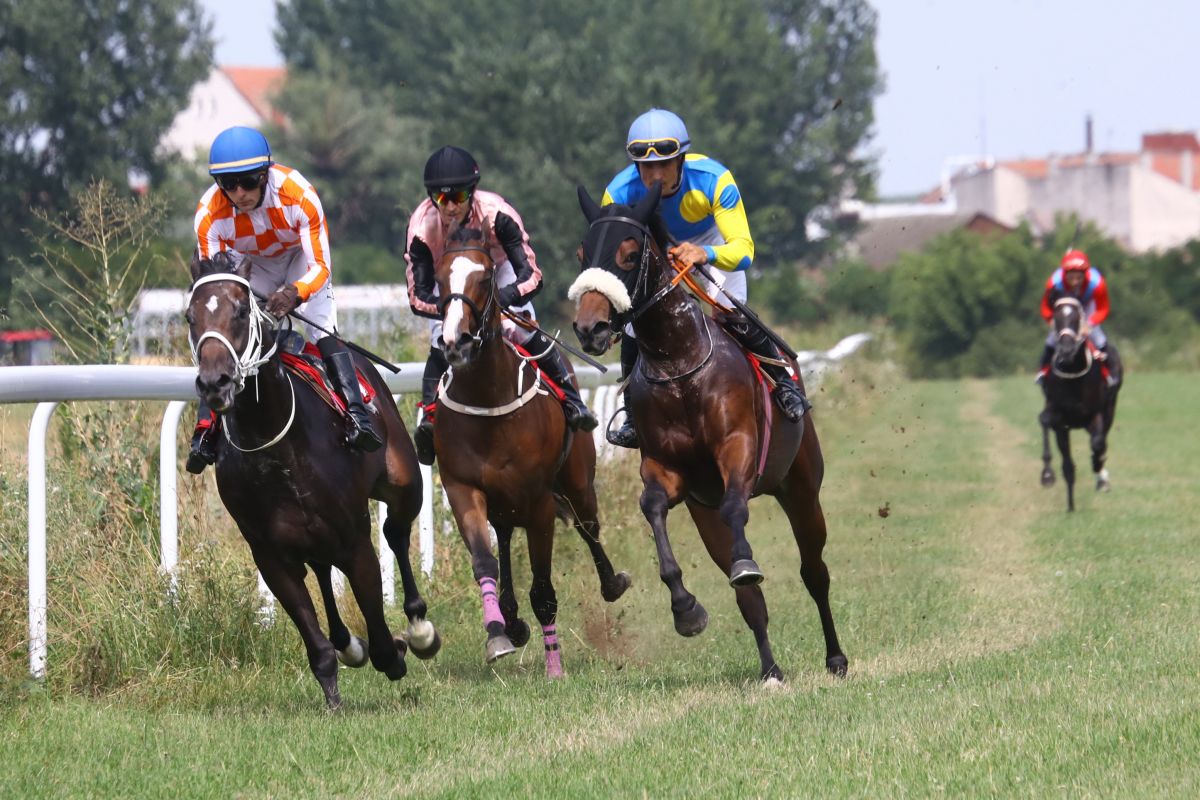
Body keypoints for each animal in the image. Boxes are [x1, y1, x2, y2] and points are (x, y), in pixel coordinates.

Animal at [182, 251, 436, 705]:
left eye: (242, 310)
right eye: (190, 317)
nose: (215, 383)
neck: (276, 442)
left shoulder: (355, 540)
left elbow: (380, 633)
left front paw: (396, 649)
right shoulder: (269, 555)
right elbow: (315, 640)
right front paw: (334, 691)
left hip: (405, 484)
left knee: (396, 532)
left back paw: (420, 627)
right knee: (320, 567)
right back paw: (348, 642)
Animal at [434, 220, 638, 676]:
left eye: (485, 278)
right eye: (438, 280)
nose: (456, 342)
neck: (489, 400)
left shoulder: (540, 500)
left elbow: (543, 590)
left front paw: (554, 666)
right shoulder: (462, 488)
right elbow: (484, 561)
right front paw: (497, 635)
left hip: (577, 482)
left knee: (587, 525)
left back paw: (612, 582)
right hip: (505, 502)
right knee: (505, 535)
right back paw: (509, 619)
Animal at [568, 184, 844, 686]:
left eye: (629, 253)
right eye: (583, 253)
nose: (589, 327)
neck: (678, 365)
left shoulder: (738, 448)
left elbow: (739, 509)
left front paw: (746, 563)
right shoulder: (667, 470)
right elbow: (652, 507)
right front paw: (686, 609)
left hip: (801, 488)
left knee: (814, 572)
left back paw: (835, 657)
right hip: (705, 514)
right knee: (750, 602)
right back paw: (770, 670)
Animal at [1041, 296, 1123, 513]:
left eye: (1077, 318)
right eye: (1057, 318)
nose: (1066, 350)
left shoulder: (1096, 414)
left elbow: (1098, 444)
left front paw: (1099, 470)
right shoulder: (1060, 420)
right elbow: (1067, 466)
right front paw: (1049, 477)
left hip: (1110, 408)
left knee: (1101, 441)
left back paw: (1101, 474)